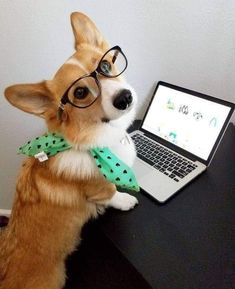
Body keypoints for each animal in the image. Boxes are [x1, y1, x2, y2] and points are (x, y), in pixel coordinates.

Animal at [0, 11, 139, 288]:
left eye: (105, 66)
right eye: (81, 92)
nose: (125, 97)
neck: (96, 137)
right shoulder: (98, 188)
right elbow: (111, 193)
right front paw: (126, 199)